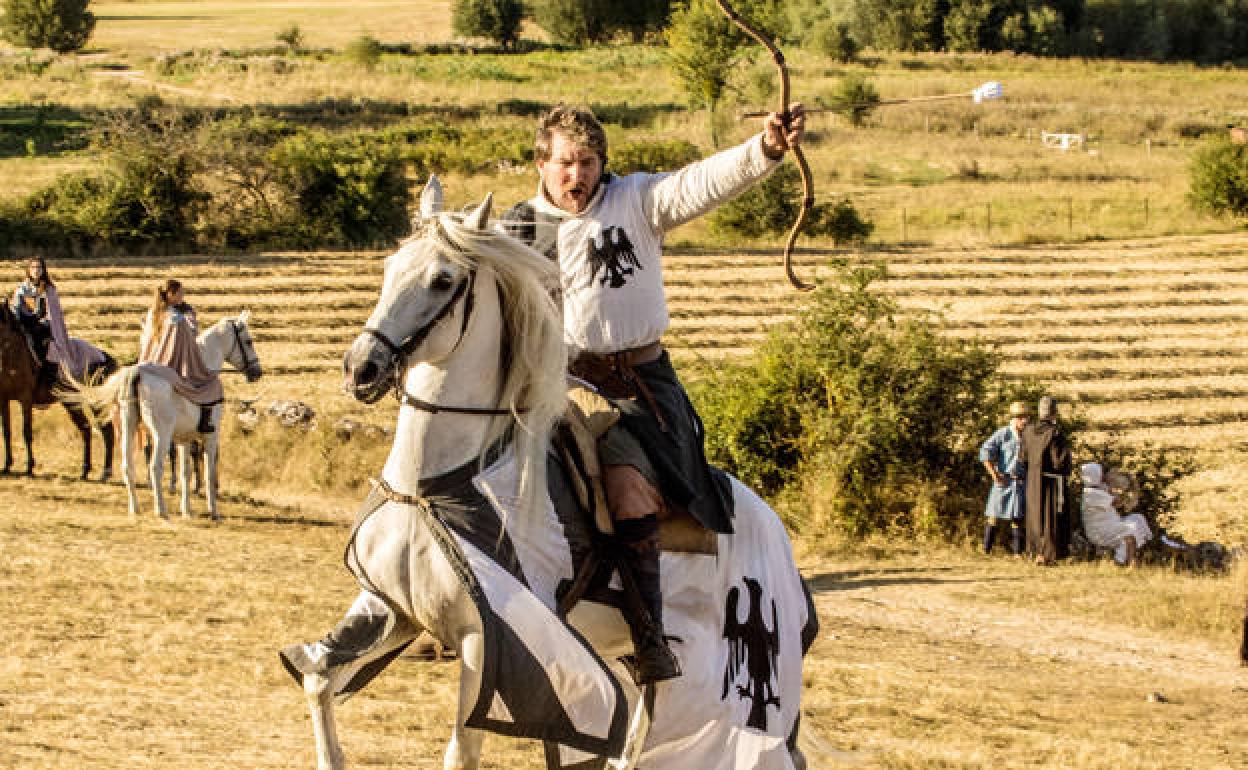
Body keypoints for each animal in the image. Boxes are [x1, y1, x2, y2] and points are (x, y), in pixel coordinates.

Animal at [0, 302, 116, 476]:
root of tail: (103, 355)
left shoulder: (25, 399)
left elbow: (26, 431)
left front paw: (29, 467)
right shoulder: (3, 399)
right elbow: (6, 431)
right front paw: (7, 466)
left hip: (93, 401)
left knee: (106, 430)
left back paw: (105, 473)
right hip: (71, 403)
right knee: (86, 429)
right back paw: (85, 470)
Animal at [280, 190, 818, 768]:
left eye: (443, 280)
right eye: (390, 267)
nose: (361, 368)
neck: (429, 487)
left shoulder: (486, 641)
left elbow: (461, 752)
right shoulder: (389, 607)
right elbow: (318, 678)